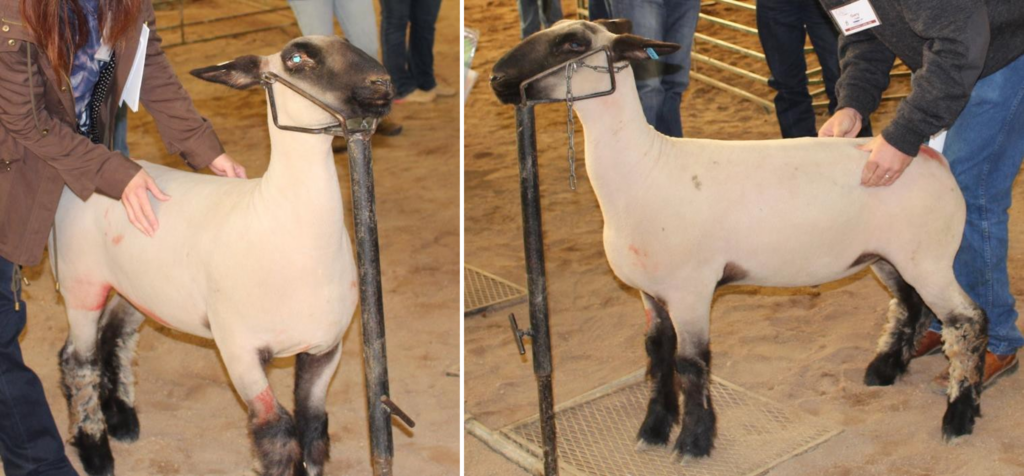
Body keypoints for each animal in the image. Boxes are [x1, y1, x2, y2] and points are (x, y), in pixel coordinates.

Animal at [51, 35, 394, 476]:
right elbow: (277, 431)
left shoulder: (324, 347)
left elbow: (313, 426)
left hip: (140, 290)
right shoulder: (239, 350)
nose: (381, 83)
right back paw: (95, 450)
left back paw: (123, 419)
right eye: (296, 58)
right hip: (81, 282)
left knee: (115, 336)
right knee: (79, 360)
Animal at [490, 20, 987, 459]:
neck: (645, 168)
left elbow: (691, 365)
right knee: (908, 303)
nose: (496, 78)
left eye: (573, 44)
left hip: (928, 258)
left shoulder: (690, 290)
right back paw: (885, 369)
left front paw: (693, 442)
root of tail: (929, 156)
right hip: (887, 255)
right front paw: (654, 429)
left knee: (967, 322)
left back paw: (959, 416)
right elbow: (657, 356)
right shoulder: (650, 293)